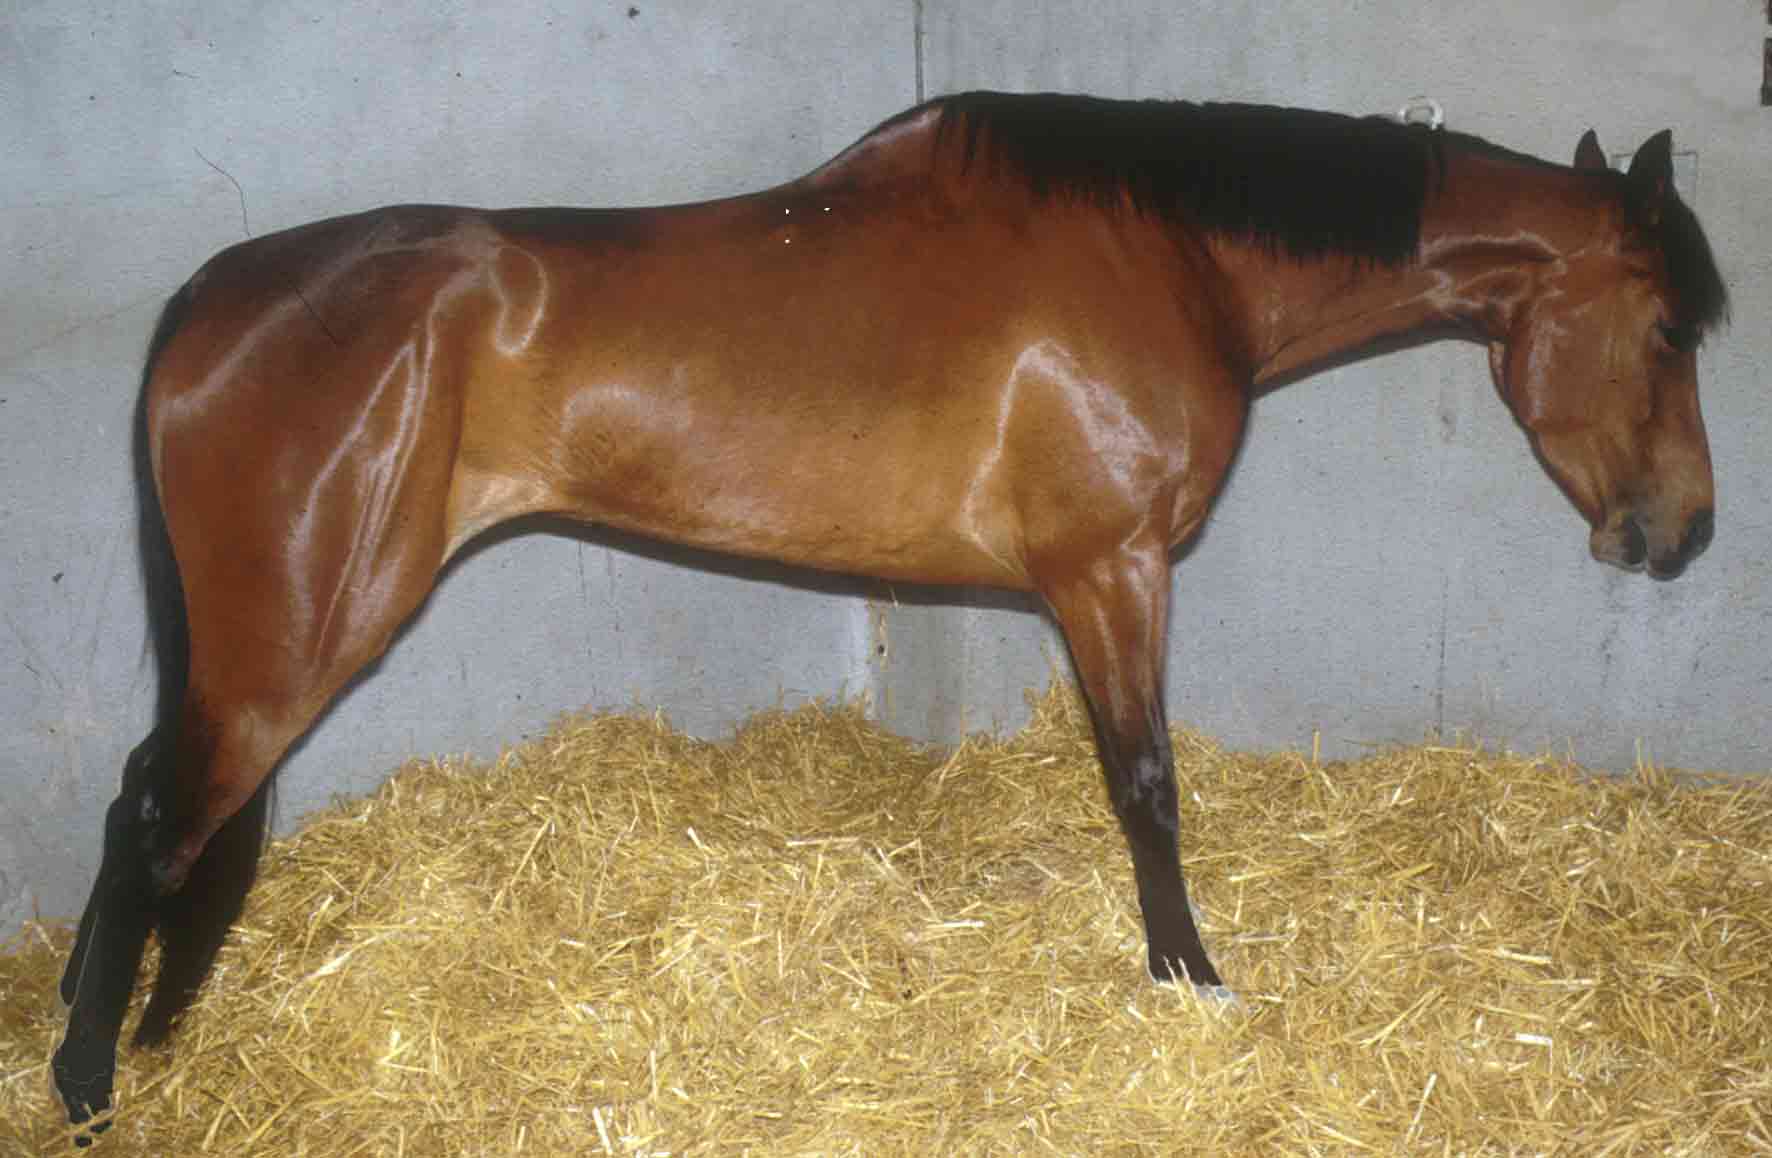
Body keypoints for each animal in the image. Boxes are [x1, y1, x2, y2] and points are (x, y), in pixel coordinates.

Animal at [52, 91, 1726, 1140]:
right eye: (1665, 326)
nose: (1686, 532)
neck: (1171, 252)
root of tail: (213, 302)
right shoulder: (1112, 569)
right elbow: (1148, 786)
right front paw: (1192, 981)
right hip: (292, 637)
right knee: (158, 819)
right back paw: (80, 1082)